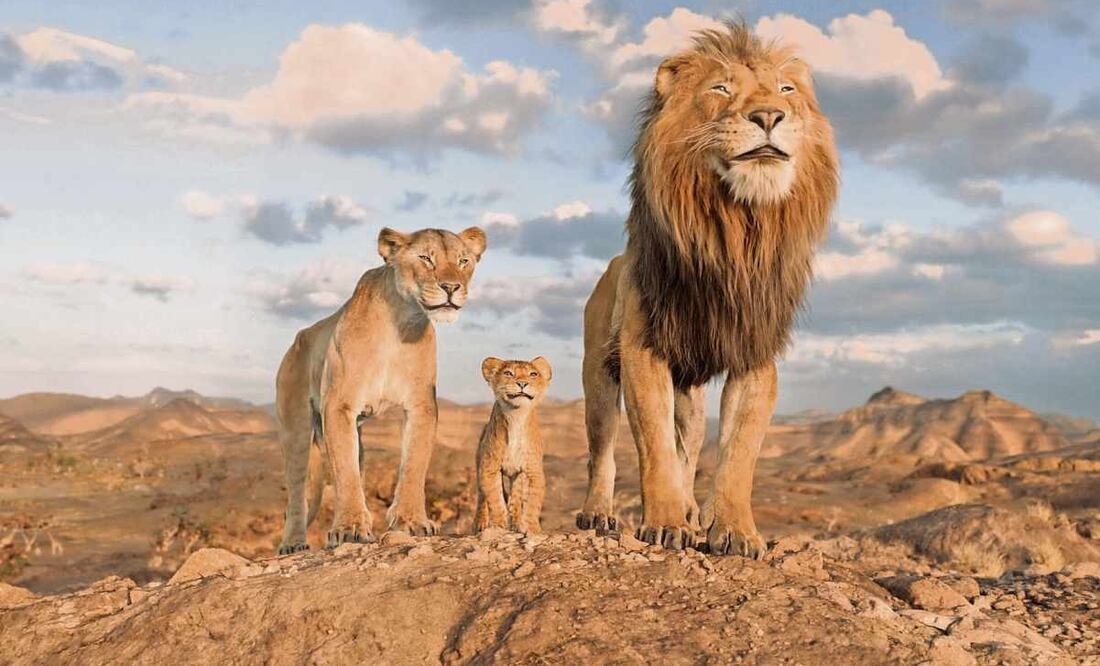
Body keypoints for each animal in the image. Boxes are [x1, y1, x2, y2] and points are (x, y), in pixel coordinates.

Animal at [275, 226, 487, 554]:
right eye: (426, 258)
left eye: (463, 261)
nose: (451, 287)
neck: (400, 323)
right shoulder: (339, 405)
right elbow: (345, 472)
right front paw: (349, 528)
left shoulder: (421, 405)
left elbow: (413, 464)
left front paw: (412, 521)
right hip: (296, 427)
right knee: (298, 490)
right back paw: (293, 543)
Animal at [474, 356, 552, 535]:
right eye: (508, 373)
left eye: (533, 374)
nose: (522, 383)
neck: (516, 416)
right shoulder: (489, 468)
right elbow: (495, 500)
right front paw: (498, 526)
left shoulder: (533, 471)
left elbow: (532, 503)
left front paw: (532, 528)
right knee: (482, 497)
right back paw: (480, 523)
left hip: (518, 475)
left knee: (515, 500)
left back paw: (516, 523)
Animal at [576, 22, 838, 556]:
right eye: (720, 88)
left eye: (787, 90)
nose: (768, 116)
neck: (736, 230)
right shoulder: (643, 349)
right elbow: (654, 448)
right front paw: (665, 523)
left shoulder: (754, 353)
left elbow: (738, 454)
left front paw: (735, 531)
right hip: (598, 374)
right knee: (603, 449)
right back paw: (599, 514)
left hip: (690, 397)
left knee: (690, 448)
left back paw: (692, 509)